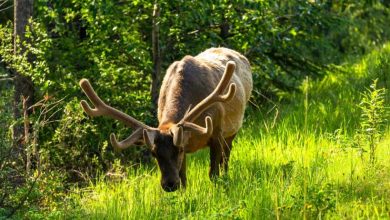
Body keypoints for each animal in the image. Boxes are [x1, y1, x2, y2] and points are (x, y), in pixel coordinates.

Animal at [79, 47, 253, 192]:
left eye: (179, 149)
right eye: (154, 153)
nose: (169, 184)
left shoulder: (216, 132)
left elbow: (214, 174)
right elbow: (184, 179)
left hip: (232, 130)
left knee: (226, 157)